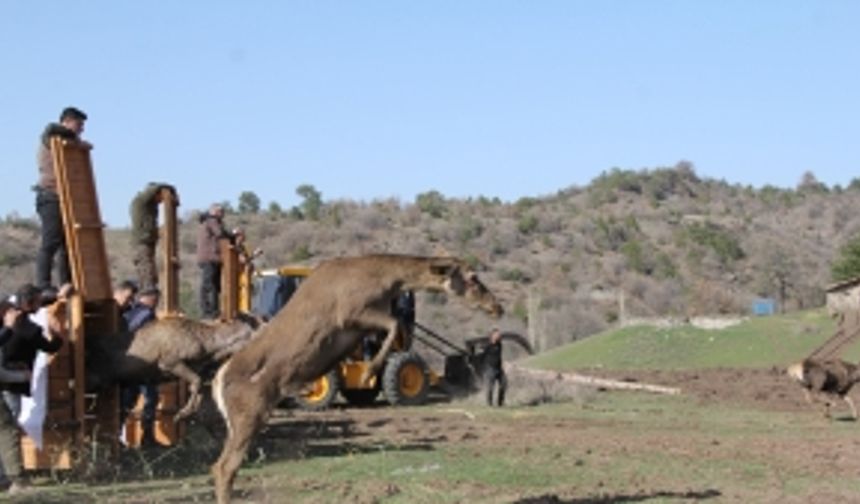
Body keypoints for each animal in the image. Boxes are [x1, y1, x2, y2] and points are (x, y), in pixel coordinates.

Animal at [210, 256, 504, 504]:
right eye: (472, 277)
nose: (497, 307)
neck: (385, 282)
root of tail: (217, 383)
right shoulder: (353, 312)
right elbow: (395, 325)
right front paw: (368, 371)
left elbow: (391, 327)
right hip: (250, 412)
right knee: (226, 466)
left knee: (220, 465)